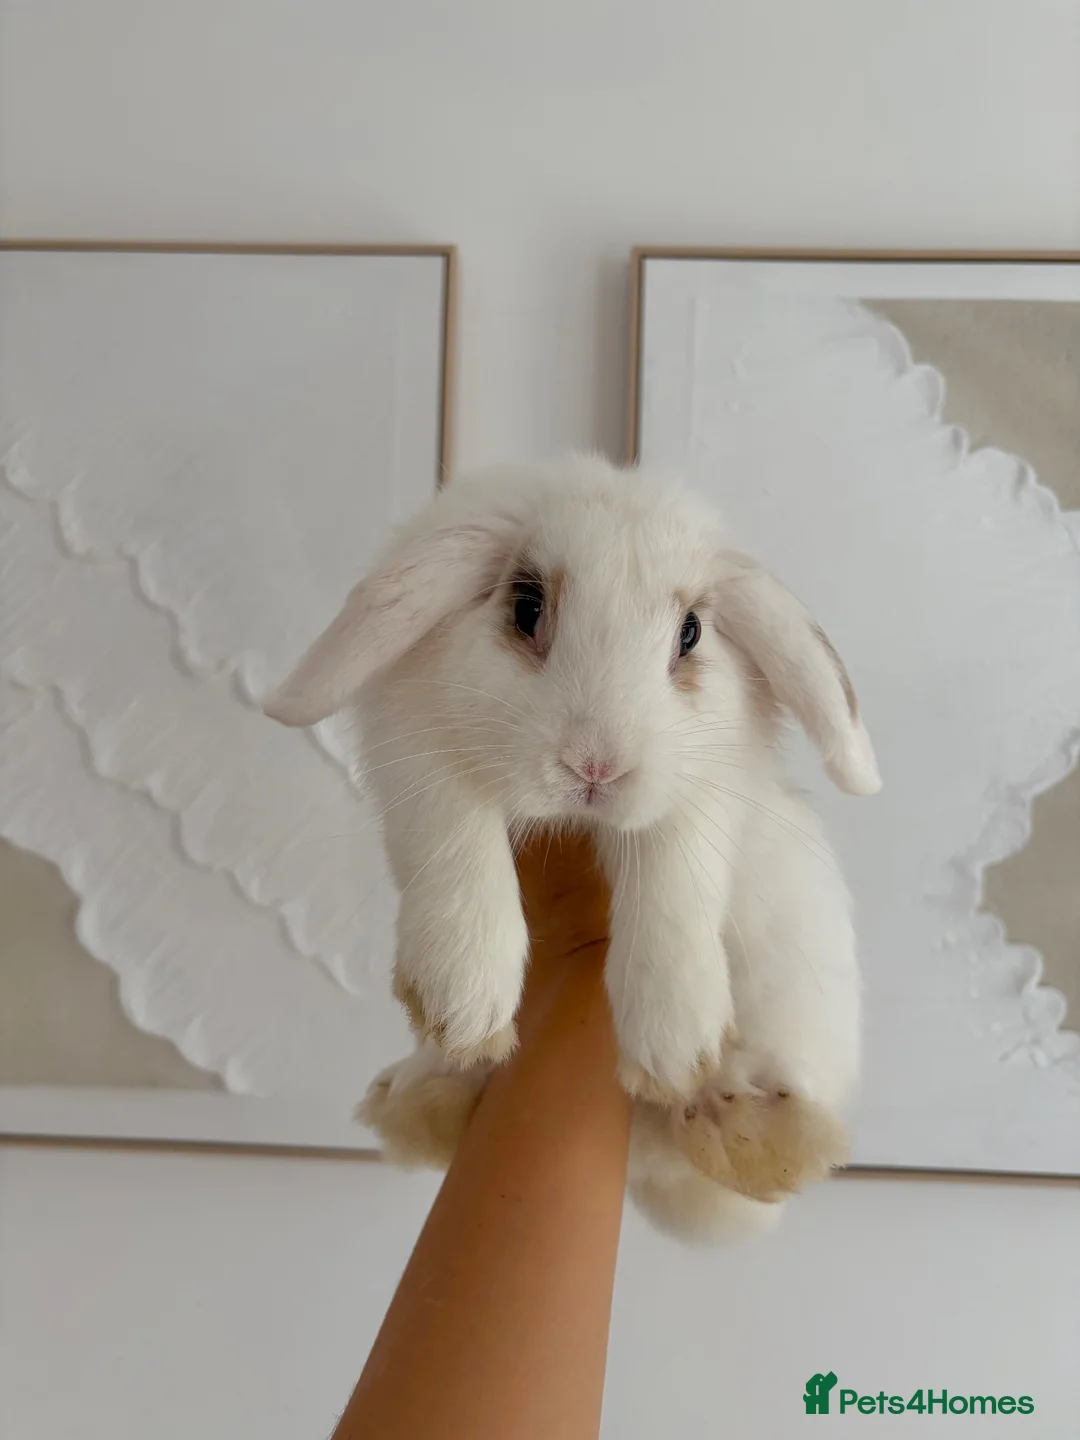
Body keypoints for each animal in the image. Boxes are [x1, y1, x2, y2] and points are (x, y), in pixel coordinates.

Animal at [266, 453, 879, 1239]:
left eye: (690, 632)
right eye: (525, 607)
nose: (596, 766)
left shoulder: (701, 788)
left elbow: (674, 881)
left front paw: (675, 1042)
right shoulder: (421, 749)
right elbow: (454, 838)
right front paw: (464, 1003)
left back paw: (739, 1120)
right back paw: (427, 1095)